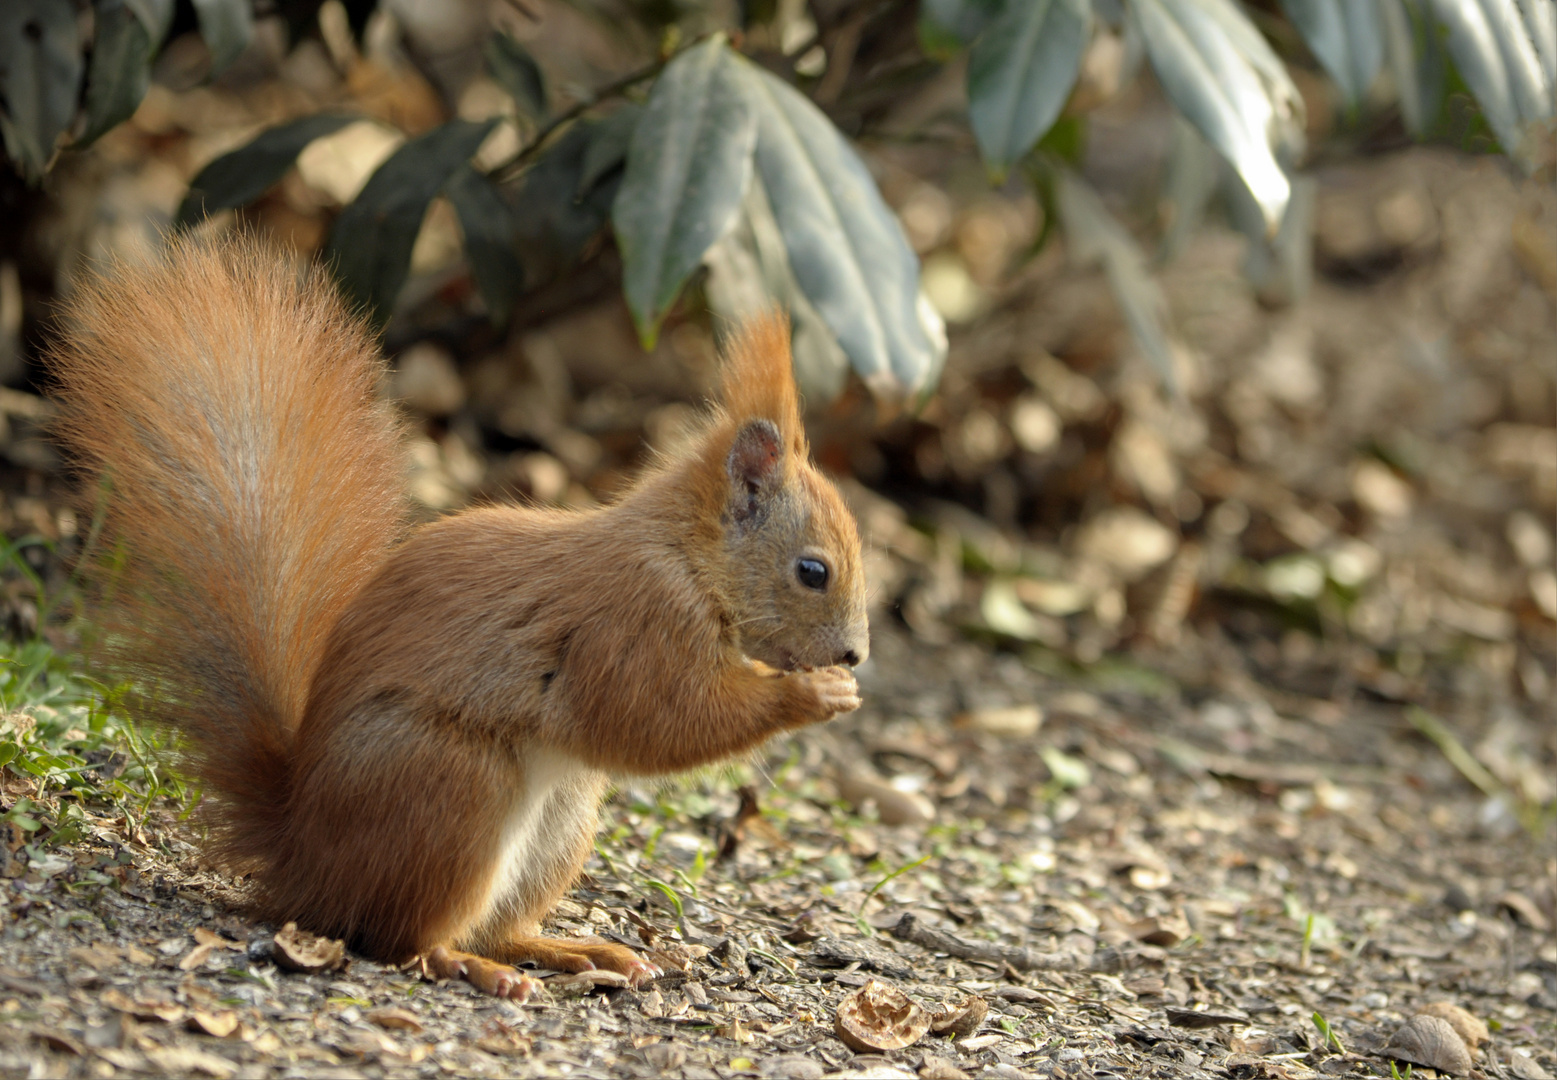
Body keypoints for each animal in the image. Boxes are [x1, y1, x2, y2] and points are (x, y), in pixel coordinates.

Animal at [48, 236, 871, 1008]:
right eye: (813, 571)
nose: (855, 656)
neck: (687, 558)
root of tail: (302, 857)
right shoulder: (631, 619)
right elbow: (657, 719)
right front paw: (809, 695)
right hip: (455, 792)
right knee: (401, 938)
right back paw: (467, 965)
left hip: (560, 822)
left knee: (497, 926)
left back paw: (571, 948)